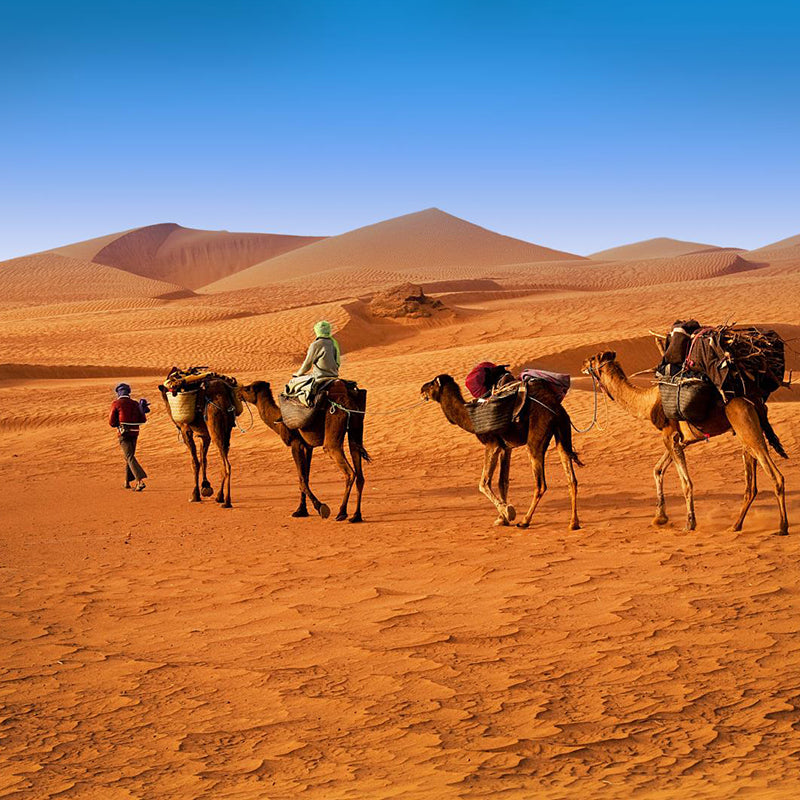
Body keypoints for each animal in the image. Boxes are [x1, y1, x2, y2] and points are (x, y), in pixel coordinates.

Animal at [158, 379, 237, 508]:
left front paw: (195, 495)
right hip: (227, 431)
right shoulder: (204, 435)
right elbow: (203, 460)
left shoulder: (185, 429)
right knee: (223, 459)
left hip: (215, 427)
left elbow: (195, 462)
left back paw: (226, 501)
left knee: (226, 465)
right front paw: (205, 486)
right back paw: (220, 496)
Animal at [238, 380, 369, 523]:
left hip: (333, 426)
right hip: (356, 428)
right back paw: (356, 516)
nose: (238, 393)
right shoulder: (308, 446)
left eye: (247, 388)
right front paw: (301, 510)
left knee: (349, 471)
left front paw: (321, 507)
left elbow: (301, 480)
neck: (279, 423)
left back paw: (342, 512)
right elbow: (305, 477)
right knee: (358, 467)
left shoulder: (296, 443)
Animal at [420, 375, 582, 529]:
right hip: (563, 434)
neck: (469, 417)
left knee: (541, 484)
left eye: (432, 384)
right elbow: (502, 481)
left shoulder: (492, 444)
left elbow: (483, 483)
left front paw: (508, 512)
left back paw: (524, 521)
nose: (422, 389)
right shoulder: (506, 447)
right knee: (572, 480)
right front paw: (502, 518)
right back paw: (573, 523)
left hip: (535, 440)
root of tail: (556, 411)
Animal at [581, 351, 789, 535]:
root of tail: (756, 400)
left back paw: (782, 527)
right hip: (744, 433)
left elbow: (685, 482)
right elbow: (657, 469)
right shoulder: (681, 440)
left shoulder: (669, 435)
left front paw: (690, 523)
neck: (647, 403)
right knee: (751, 486)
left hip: (747, 426)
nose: (583, 364)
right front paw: (660, 518)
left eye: (593, 358)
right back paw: (735, 526)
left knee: (775, 476)